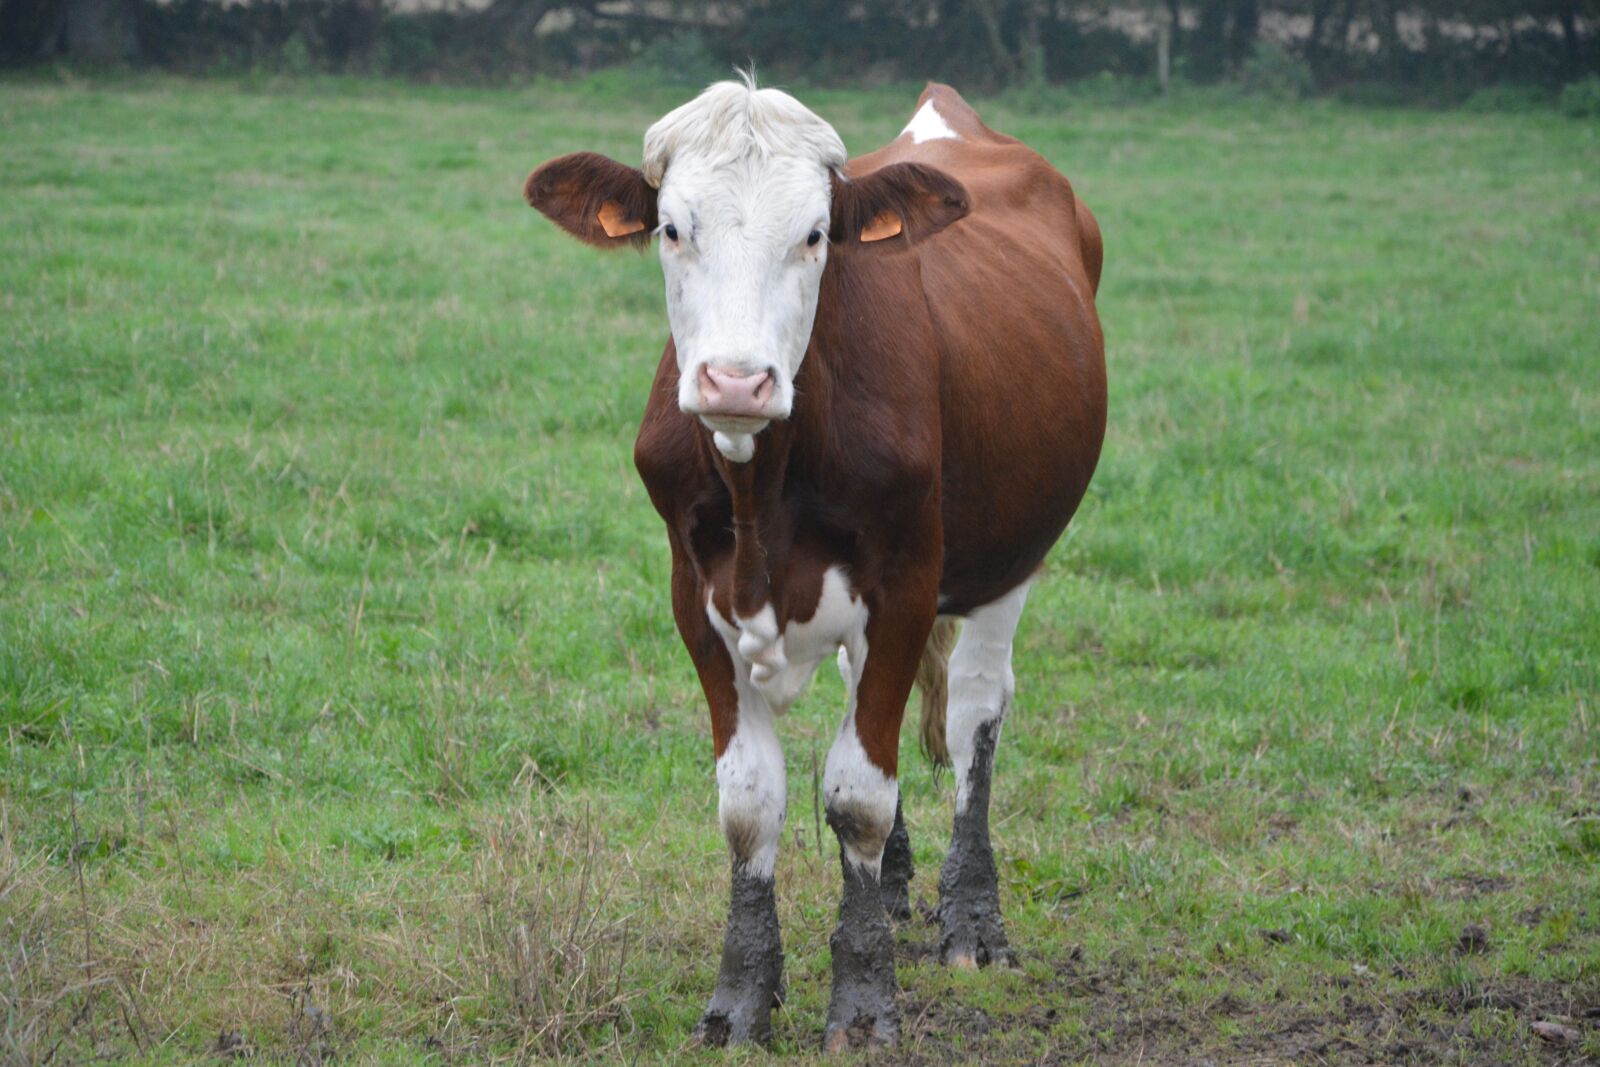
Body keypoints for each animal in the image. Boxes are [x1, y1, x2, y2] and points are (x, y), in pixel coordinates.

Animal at [524, 77, 1105, 1052]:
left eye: (815, 234)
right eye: (671, 228)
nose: (734, 381)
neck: (764, 486)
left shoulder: (906, 588)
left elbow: (859, 794)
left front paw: (864, 1002)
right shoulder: (695, 599)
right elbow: (751, 801)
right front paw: (741, 999)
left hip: (1009, 556)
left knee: (973, 711)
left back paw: (970, 917)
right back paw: (899, 888)